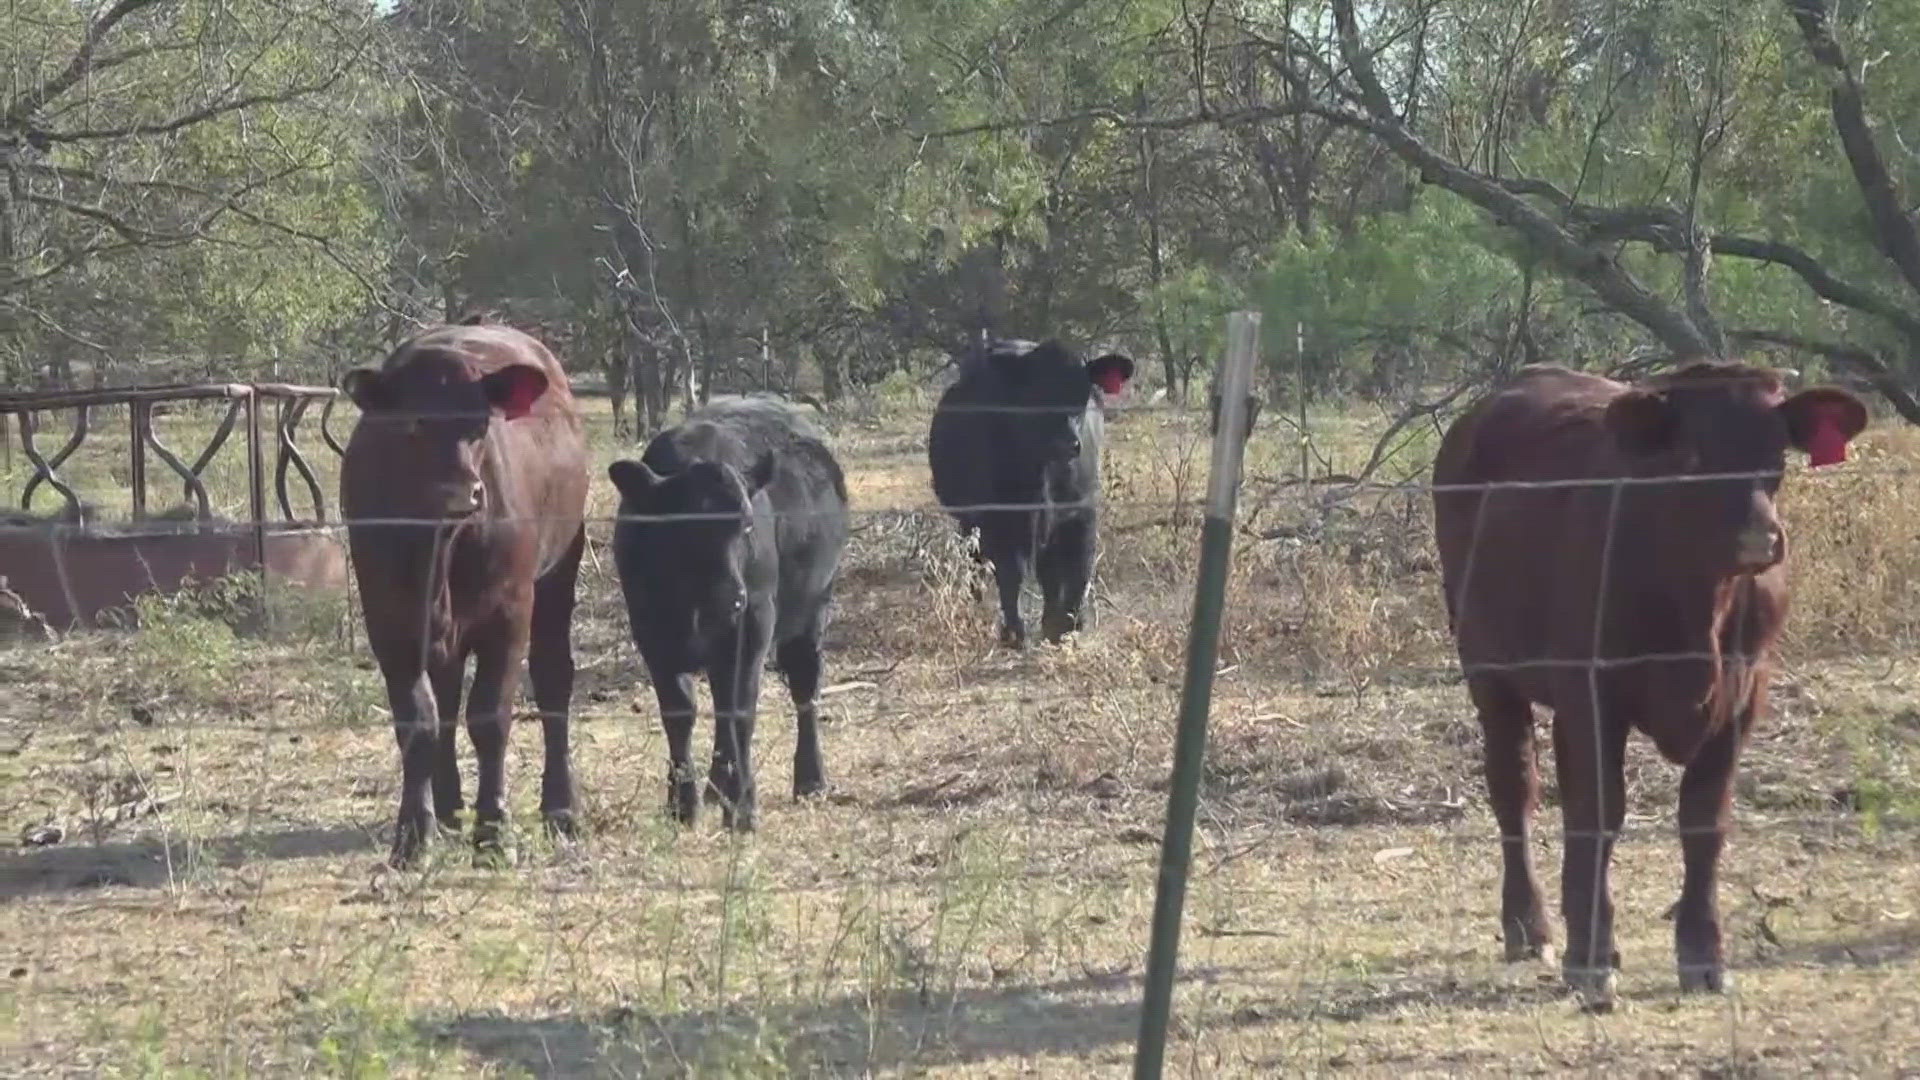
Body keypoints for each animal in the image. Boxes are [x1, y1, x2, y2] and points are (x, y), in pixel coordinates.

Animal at [337, 319, 587, 864]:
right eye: (413, 423)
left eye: (481, 424)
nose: (459, 494)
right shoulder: (388, 619)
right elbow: (419, 720)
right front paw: (414, 832)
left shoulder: (510, 612)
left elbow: (489, 717)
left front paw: (493, 830)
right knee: (448, 695)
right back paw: (449, 805)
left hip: (559, 572)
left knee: (553, 678)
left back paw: (560, 808)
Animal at [606, 393, 848, 822]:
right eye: (680, 526)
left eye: (746, 525)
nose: (730, 597)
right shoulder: (651, 633)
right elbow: (680, 713)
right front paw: (682, 802)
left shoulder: (753, 628)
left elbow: (739, 712)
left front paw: (743, 806)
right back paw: (715, 789)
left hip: (812, 611)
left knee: (804, 687)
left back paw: (810, 780)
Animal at [925, 336, 1128, 641]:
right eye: (1035, 393)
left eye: (1083, 394)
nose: (1069, 443)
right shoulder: (1001, 518)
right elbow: (1011, 573)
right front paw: (1015, 632)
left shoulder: (1081, 510)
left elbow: (1078, 568)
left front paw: (1067, 624)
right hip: (970, 520)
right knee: (976, 561)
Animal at [1436, 357, 1866, 1006]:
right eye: (1691, 452)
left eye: (1777, 451)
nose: (1758, 538)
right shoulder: (1591, 695)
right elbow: (1597, 814)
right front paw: (1590, 956)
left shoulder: (1744, 698)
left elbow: (1704, 821)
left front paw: (1703, 954)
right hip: (1487, 668)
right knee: (1514, 787)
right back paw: (1529, 928)